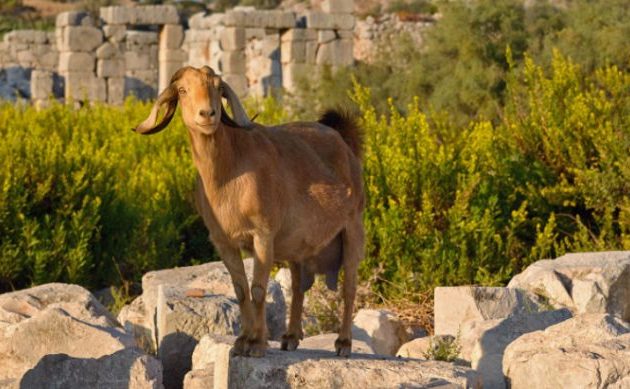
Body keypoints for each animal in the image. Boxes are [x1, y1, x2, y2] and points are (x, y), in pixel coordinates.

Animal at [136, 65, 368, 356]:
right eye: (182, 90)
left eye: (218, 87)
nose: (207, 114)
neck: (231, 172)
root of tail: (344, 142)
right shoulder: (223, 241)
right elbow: (240, 289)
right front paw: (241, 341)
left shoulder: (263, 235)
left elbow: (258, 289)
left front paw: (257, 344)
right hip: (298, 247)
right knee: (298, 286)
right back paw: (290, 337)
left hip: (353, 227)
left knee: (349, 286)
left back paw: (343, 343)